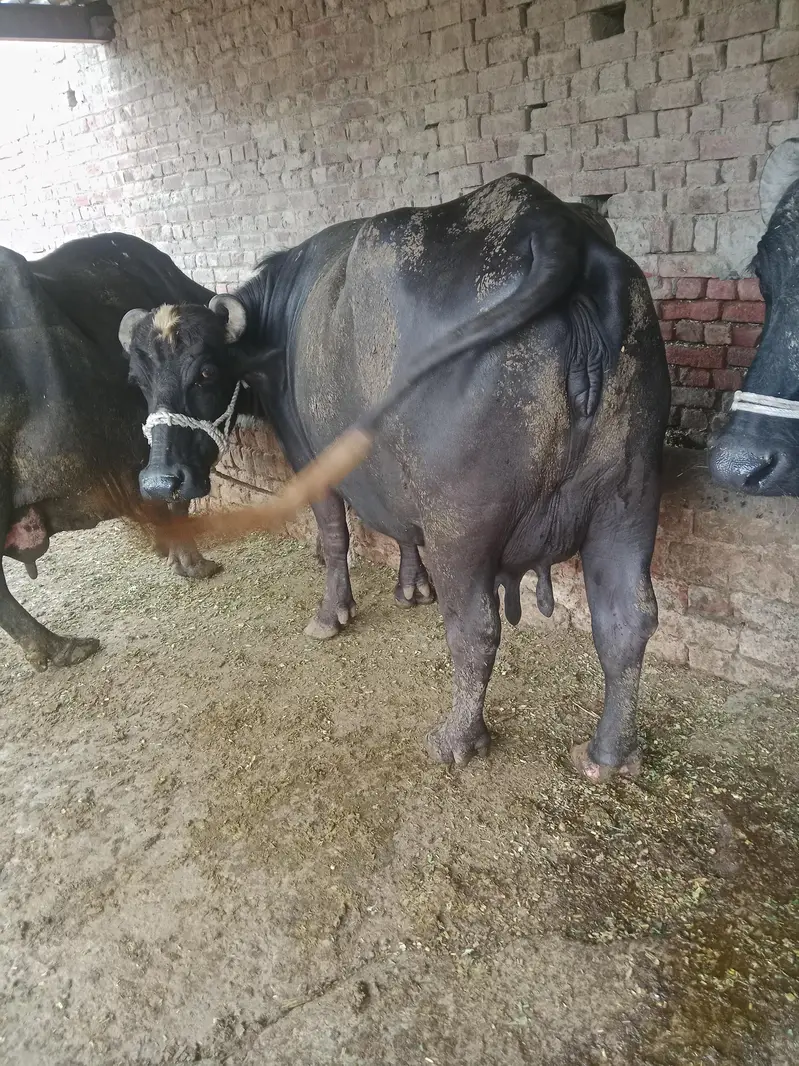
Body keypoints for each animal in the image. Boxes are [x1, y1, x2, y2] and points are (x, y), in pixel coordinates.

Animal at [120, 174, 671, 782]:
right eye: (137, 378)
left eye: (206, 372)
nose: (160, 482)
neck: (280, 326)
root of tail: (552, 223)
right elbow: (401, 529)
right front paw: (411, 587)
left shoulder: (310, 457)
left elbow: (335, 535)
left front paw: (331, 614)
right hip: (629, 502)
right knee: (627, 622)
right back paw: (608, 754)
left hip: (465, 527)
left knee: (477, 629)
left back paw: (458, 737)